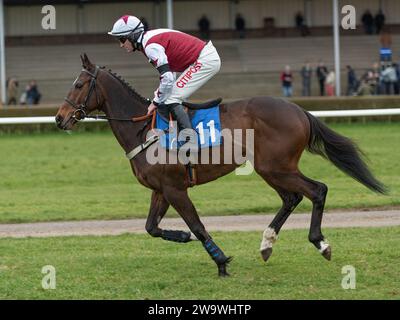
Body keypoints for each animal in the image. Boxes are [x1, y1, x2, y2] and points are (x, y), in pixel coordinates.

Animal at [54, 53, 386, 276]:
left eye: (79, 84)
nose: (59, 118)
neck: (142, 128)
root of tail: (299, 111)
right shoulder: (160, 189)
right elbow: (151, 227)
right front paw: (182, 237)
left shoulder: (175, 189)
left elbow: (197, 225)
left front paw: (221, 261)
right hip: (271, 168)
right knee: (292, 198)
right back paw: (267, 243)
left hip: (278, 167)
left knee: (317, 190)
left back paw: (320, 243)